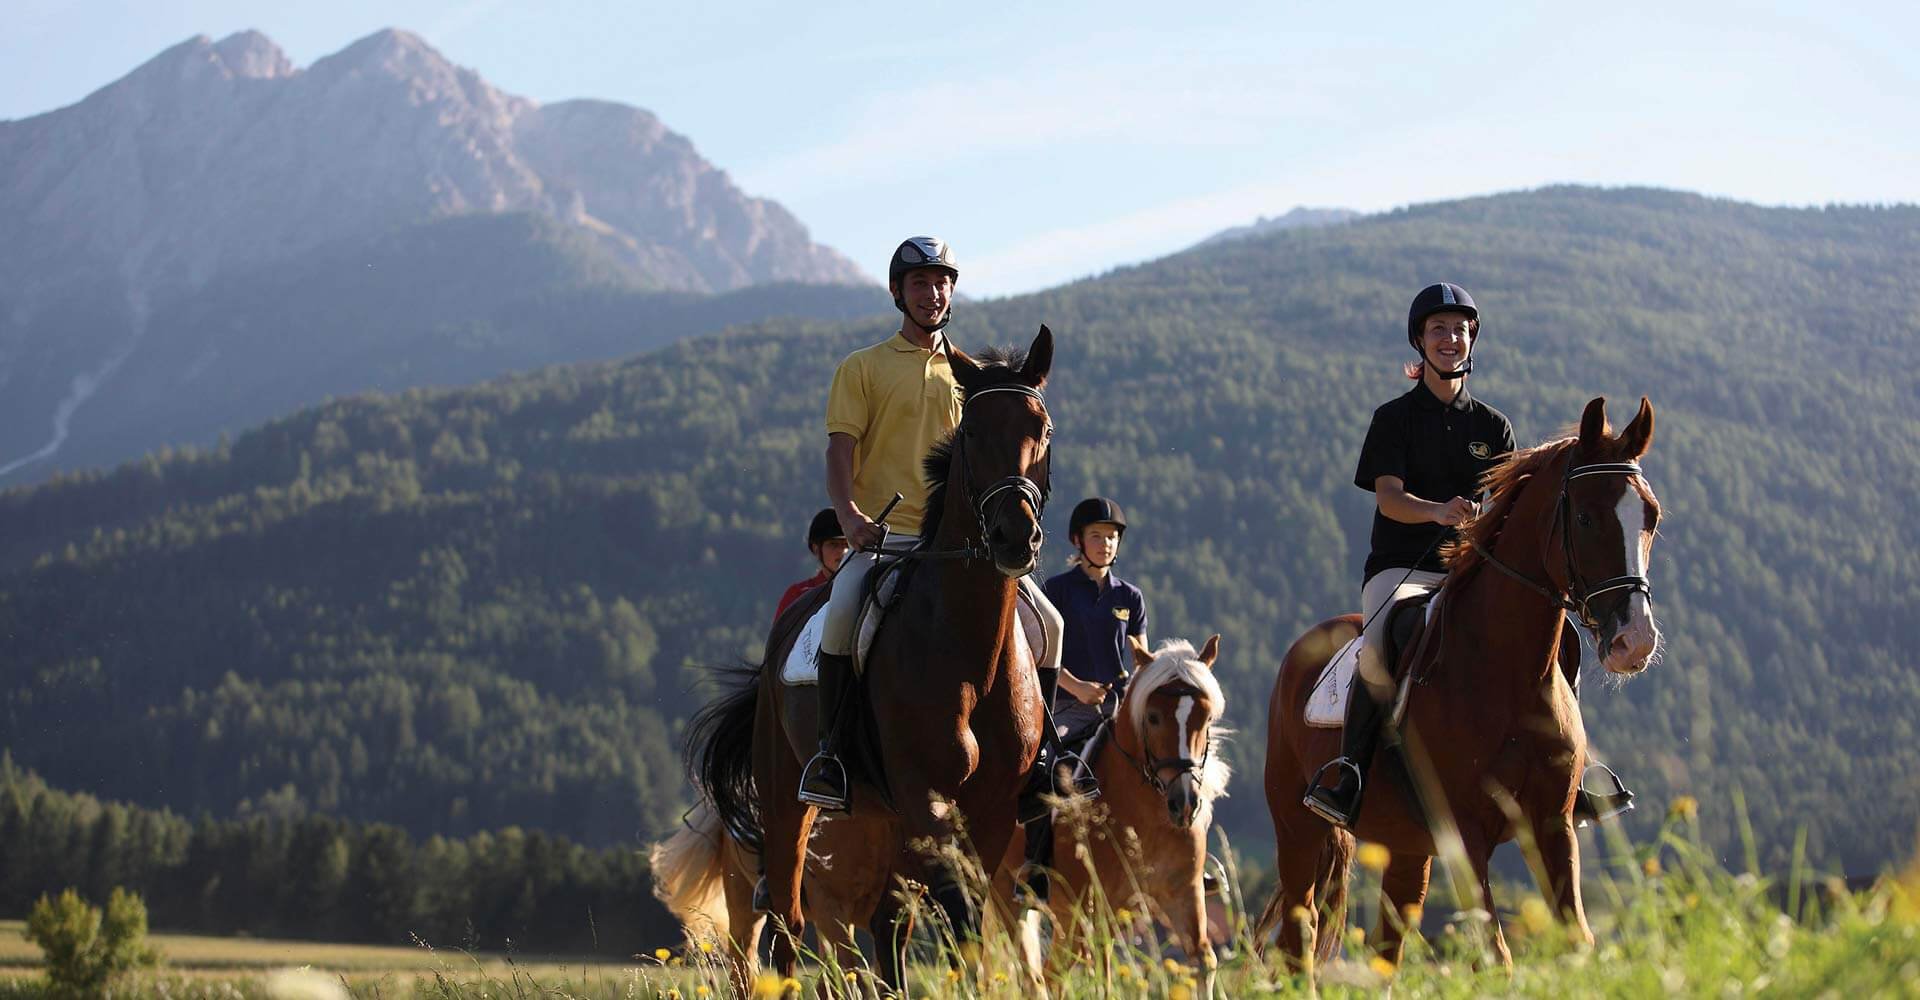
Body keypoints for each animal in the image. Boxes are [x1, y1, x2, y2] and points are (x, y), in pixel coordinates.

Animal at [691, 328, 1059, 990]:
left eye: (1041, 428)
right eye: (971, 432)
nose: (1015, 537)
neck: (969, 651)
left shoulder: (991, 810)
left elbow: (967, 924)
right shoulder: (927, 798)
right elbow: (958, 913)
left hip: (884, 820)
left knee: (889, 926)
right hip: (787, 796)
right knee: (786, 918)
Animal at [1259, 395, 1666, 967]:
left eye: (1650, 516)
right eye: (1585, 517)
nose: (1635, 641)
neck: (1509, 675)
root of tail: (1302, 651)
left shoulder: (1554, 824)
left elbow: (1577, 938)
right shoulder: (1466, 834)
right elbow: (1494, 955)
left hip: (1406, 845)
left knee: (1387, 942)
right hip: (1298, 829)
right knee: (1300, 930)